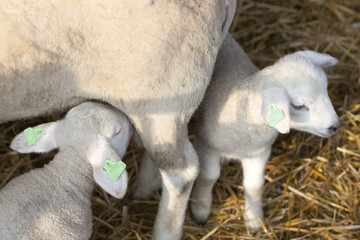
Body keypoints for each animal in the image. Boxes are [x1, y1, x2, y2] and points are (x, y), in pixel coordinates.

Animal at [190, 34, 338, 230]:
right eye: (299, 106)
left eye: (326, 90)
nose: (334, 126)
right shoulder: (206, 146)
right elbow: (209, 176)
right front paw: (201, 207)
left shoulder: (258, 154)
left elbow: (254, 186)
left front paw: (254, 218)